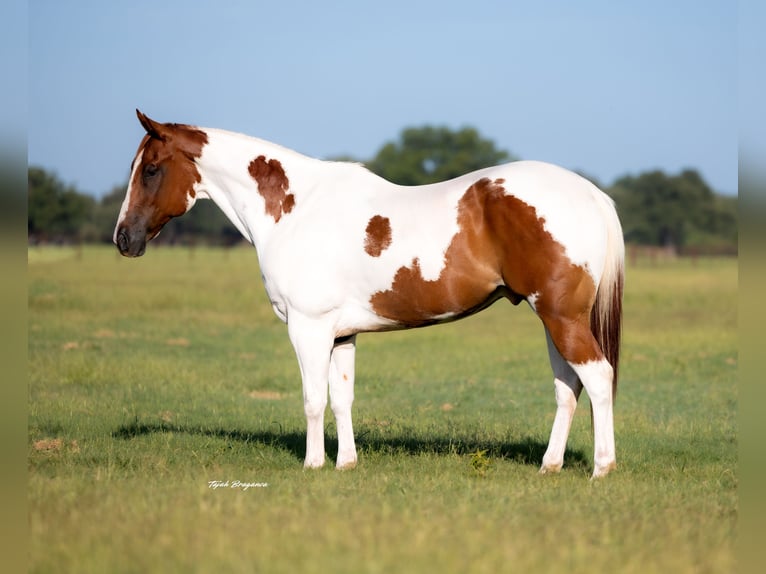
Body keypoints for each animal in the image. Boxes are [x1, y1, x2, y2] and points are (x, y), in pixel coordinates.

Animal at [114, 110, 624, 478]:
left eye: (152, 170)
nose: (123, 239)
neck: (295, 210)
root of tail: (591, 194)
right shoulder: (341, 334)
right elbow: (342, 398)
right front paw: (346, 464)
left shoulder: (309, 328)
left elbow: (313, 399)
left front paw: (313, 465)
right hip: (553, 319)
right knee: (568, 387)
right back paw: (549, 466)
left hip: (561, 316)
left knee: (597, 378)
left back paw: (601, 469)